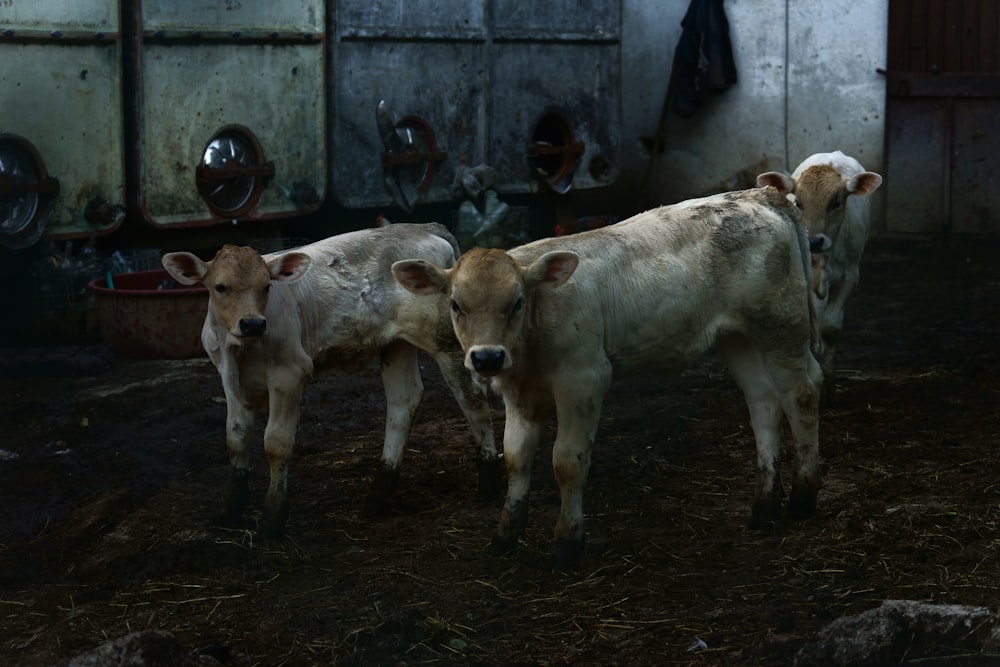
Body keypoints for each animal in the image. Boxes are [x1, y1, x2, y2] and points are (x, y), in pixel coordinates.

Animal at [162, 224, 500, 536]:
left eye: (266, 286)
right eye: (220, 287)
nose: (253, 323)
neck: (242, 351)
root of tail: (424, 227)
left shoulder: (290, 373)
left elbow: (276, 443)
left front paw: (273, 518)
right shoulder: (227, 376)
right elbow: (235, 438)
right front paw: (230, 512)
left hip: (444, 339)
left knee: (473, 399)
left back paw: (488, 483)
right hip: (396, 344)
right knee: (404, 400)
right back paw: (378, 496)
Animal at [394, 187, 824, 568]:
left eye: (516, 302)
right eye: (455, 304)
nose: (486, 357)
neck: (531, 341)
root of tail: (758, 194)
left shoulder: (583, 379)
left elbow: (567, 461)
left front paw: (566, 544)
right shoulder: (519, 392)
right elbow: (516, 457)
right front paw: (505, 535)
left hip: (781, 327)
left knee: (801, 395)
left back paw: (803, 498)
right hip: (739, 338)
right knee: (763, 402)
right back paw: (764, 506)